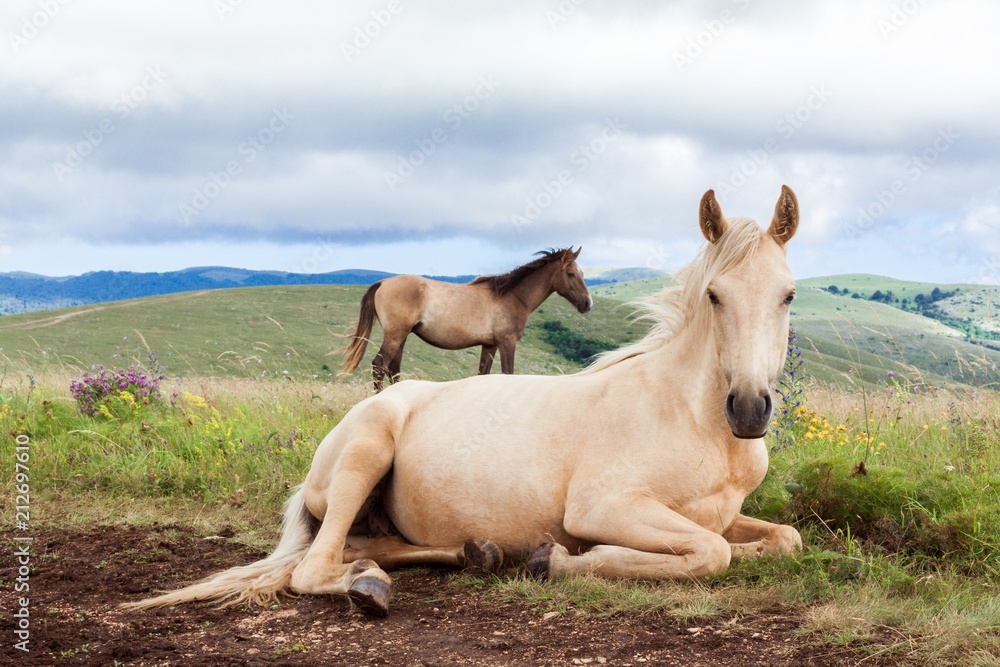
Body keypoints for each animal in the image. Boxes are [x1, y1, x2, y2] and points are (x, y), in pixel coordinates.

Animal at [129, 185, 804, 620]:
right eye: (714, 295)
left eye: (788, 295)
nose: (749, 410)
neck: (691, 420)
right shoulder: (605, 507)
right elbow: (710, 552)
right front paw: (559, 559)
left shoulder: (721, 514)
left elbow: (782, 538)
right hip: (365, 455)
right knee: (314, 568)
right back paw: (371, 587)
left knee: (369, 549)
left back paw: (471, 554)